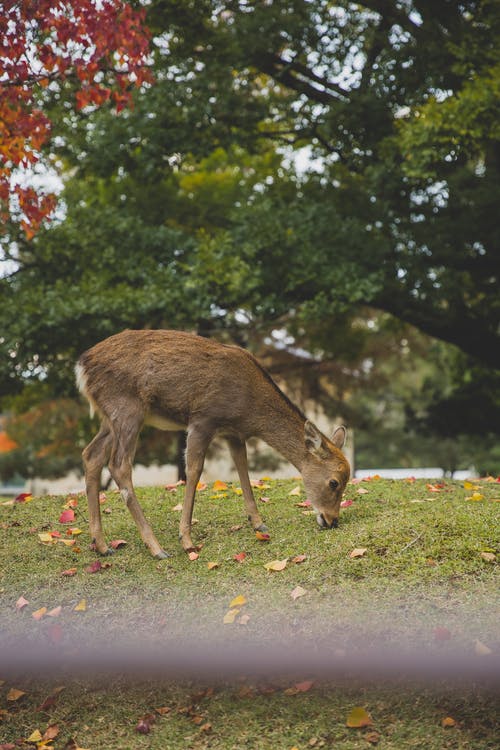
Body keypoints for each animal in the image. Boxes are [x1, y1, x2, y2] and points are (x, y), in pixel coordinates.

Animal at [76, 328, 350, 560]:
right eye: (334, 482)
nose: (331, 520)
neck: (250, 410)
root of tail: (82, 366)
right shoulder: (203, 419)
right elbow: (194, 471)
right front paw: (186, 540)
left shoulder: (234, 433)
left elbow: (243, 470)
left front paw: (258, 522)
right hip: (127, 408)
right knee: (119, 465)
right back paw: (156, 548)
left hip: (109, 417)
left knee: (91, 454)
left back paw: (102, 546)